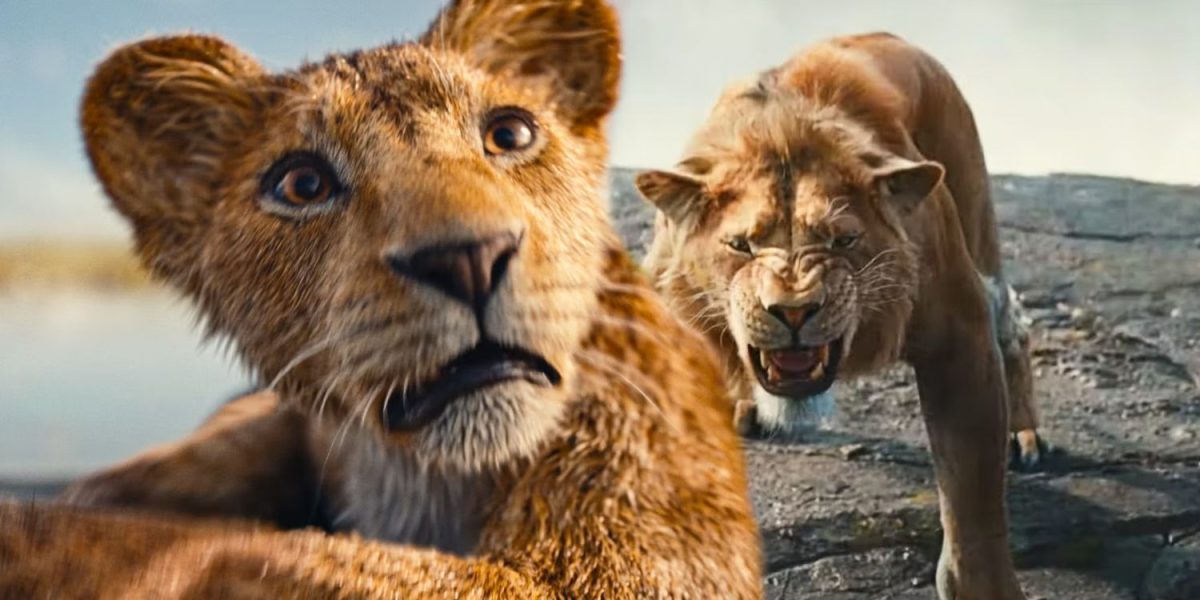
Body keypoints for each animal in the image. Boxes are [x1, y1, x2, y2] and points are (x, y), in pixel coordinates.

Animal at [636, 33, 1036, 599]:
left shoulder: (960, 335)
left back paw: (1025, 436)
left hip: (974, 211)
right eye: (741, 245)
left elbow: (973, 497)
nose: (793, 310)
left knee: (1014, 323)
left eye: (842, 240)